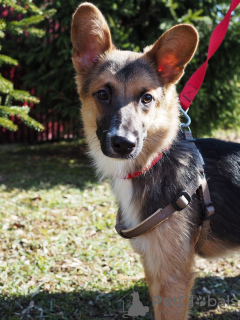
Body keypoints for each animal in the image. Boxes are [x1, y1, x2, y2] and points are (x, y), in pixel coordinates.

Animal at [71, 3, 240, 320]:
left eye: (147, 98)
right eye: (103, 94)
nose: (123, 144)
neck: (152, 163)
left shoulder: (173, 276)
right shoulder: (154, 267)